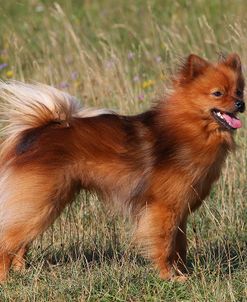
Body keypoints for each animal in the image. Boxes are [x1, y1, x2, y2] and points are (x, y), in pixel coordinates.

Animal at [0, 53, 244, 282]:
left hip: (43, 204)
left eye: (239, 91)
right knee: (8, 240)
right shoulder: (163, 210)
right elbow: (165, 245)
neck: (189, 127)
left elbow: (179, 247)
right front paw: (169, 277)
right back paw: (5, 278)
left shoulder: (179, 211)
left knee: (21, 241)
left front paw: (182, 272)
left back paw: (21, 271)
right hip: (42, 201)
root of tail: (37, 131)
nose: (241, 104)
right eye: (218, 93)